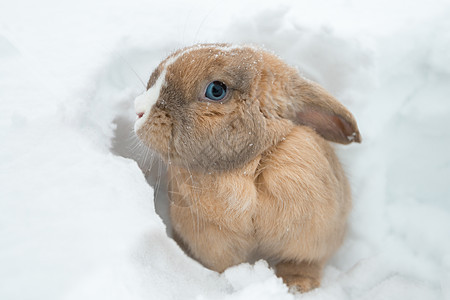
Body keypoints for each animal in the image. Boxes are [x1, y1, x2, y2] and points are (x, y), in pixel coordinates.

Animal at [134, 43, 362, 292]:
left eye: (216, 90)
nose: (138, 111)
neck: (247, 166)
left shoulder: (309, 239)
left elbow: (300, 263)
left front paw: (297, 286)